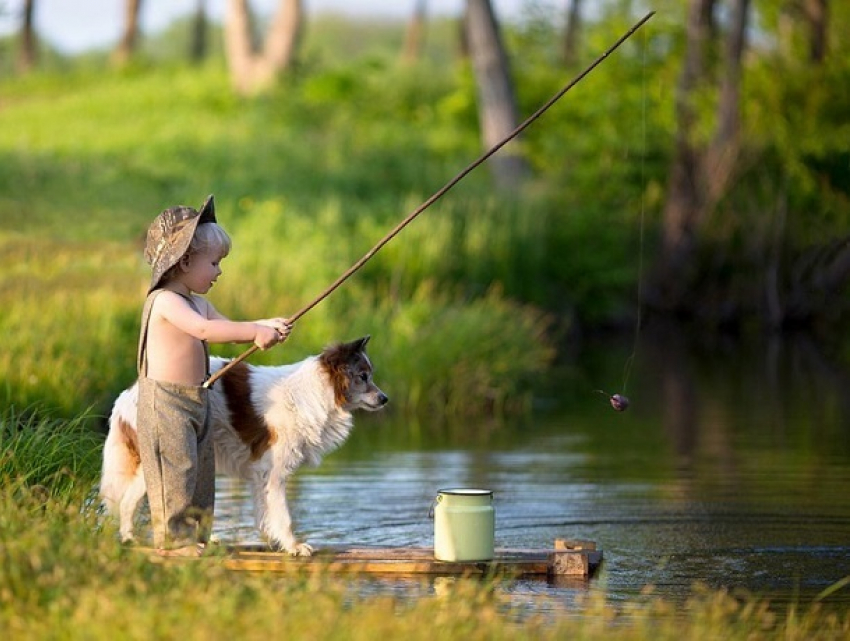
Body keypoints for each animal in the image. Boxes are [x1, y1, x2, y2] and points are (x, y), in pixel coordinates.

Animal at [100, 336, 388, 556]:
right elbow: (283, 514)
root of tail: (126, 395)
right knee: (128, 502)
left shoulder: (261, 472)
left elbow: (265, 511)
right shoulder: (274, 471)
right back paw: (130, 539)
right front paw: (293, 546)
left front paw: (273, 541)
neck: (319, 391)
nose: (385, 399)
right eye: (363, 376)